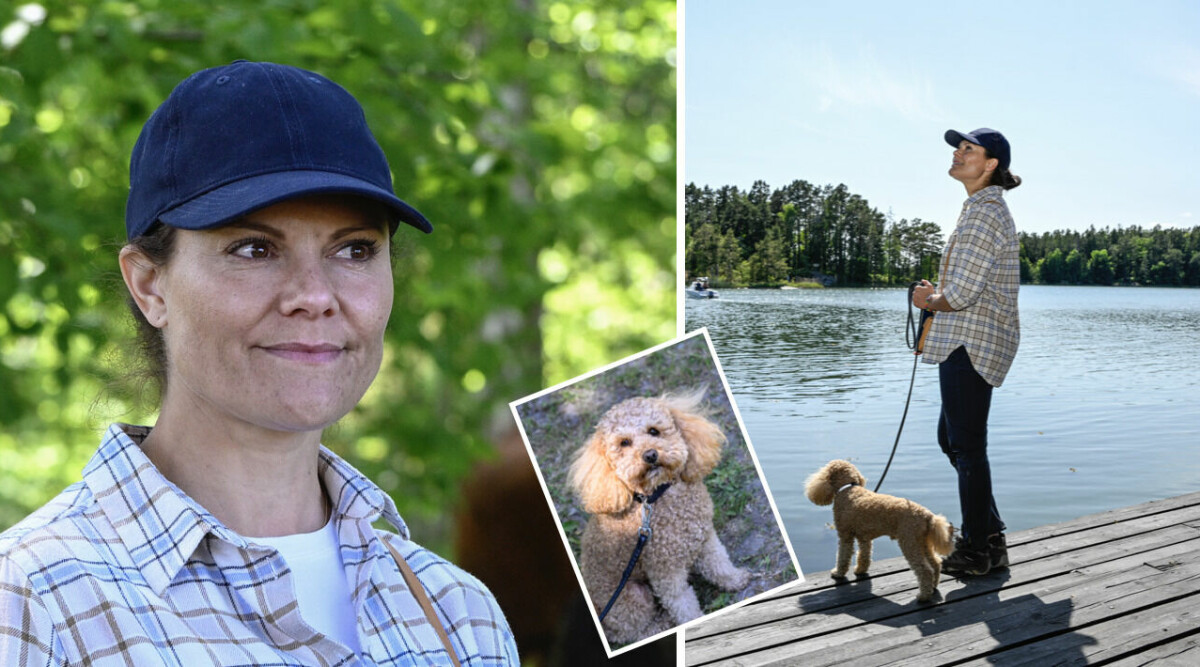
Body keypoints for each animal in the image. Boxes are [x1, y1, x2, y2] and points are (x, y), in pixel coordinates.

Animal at [806, 460, 955, 602]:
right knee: (936, 563)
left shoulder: (845, 535)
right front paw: (860, 570)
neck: (848, 489)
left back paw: (923, 596)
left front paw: (838, 573)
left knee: (925, 570)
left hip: (909, 541)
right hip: (923, 542)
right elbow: (864, 556)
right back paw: (933, 587)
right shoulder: (864, 538)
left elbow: (843, 556)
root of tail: (928, 516)